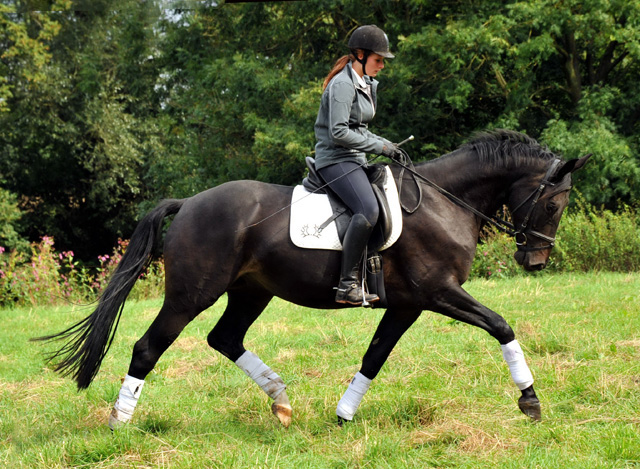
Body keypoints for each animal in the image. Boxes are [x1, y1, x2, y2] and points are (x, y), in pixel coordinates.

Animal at [38, 128, 592, 428]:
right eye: (553, 204)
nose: (535, 262)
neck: (443, 201)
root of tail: (190, 202)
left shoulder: (408, 304)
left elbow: (374, 357)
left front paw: (344, 415)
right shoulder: (439, 293)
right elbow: (500, 325)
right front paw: (530, 400)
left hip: (250, 292)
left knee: (225, 338)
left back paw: (282, 403)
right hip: (190, 295)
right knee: (147, 348)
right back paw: (120, 420)